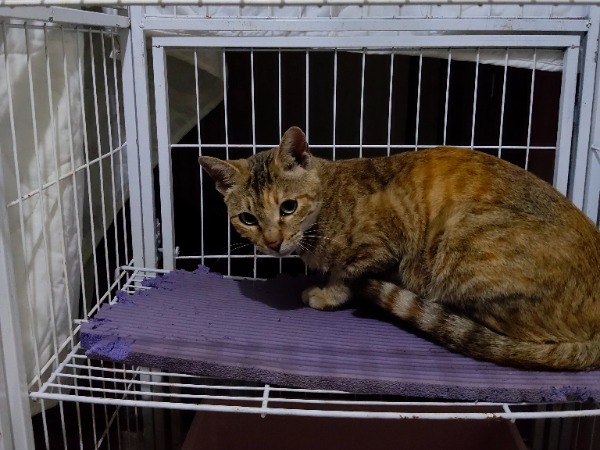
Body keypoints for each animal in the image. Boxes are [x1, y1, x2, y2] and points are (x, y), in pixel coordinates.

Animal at [199, 126, 600, 370]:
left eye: (288, 207)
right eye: (248, 218)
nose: (272, 242)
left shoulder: (388, 240)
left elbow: (348, 271)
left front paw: (328, 293)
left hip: (461, 245)